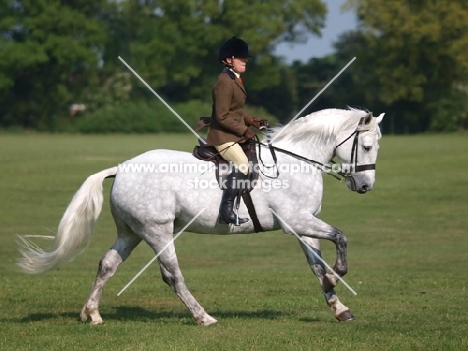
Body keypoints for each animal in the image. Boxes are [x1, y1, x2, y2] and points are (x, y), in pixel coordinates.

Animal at [17, 108, 384, 326]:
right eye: (367, 147)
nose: (365, 186)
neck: (296, 161)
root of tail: (121, 168)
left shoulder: (304, 225)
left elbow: (316, 264)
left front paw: (338, 305)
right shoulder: (297, 221)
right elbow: (340, 237)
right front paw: (338, 275)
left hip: (131, 233)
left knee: (107, 264)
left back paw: (91, 313)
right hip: (158, 232)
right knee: (172, 275)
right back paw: (202, 316)